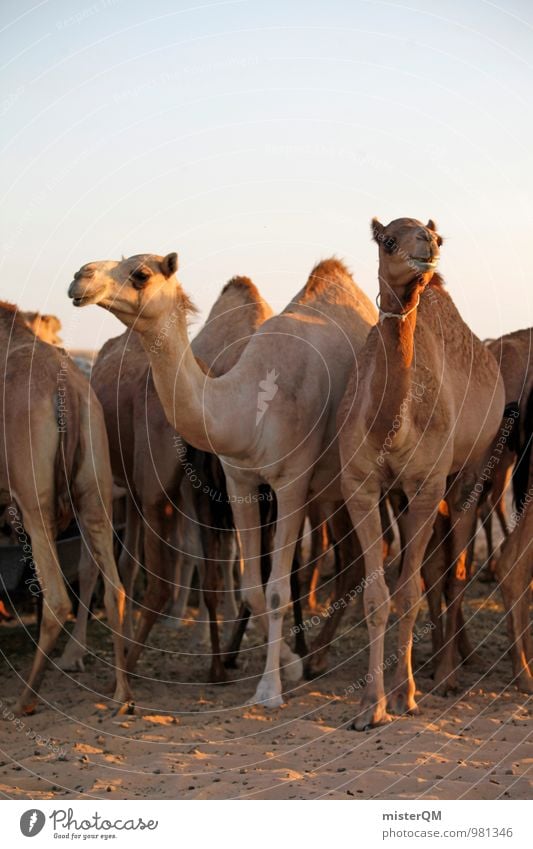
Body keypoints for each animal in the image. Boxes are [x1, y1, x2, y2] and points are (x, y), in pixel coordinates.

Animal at [0, 302, 130, 712]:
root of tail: (68, 391)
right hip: (95, 485)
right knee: (115, 587)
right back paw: (122, 694)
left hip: (33, 496)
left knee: (57, 598)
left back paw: (26, 699)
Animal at [336, 219, 502, 728]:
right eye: (388, 240)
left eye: (440, 238)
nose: (426, 246)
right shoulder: (361, 487)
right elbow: (377, 596)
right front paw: (370, 706)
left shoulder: (428, 484)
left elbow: (408, 592)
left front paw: (404, 696)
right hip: (404, 496)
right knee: (432, 568)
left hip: (470, 470)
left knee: (455, 572)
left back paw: (446, 676)